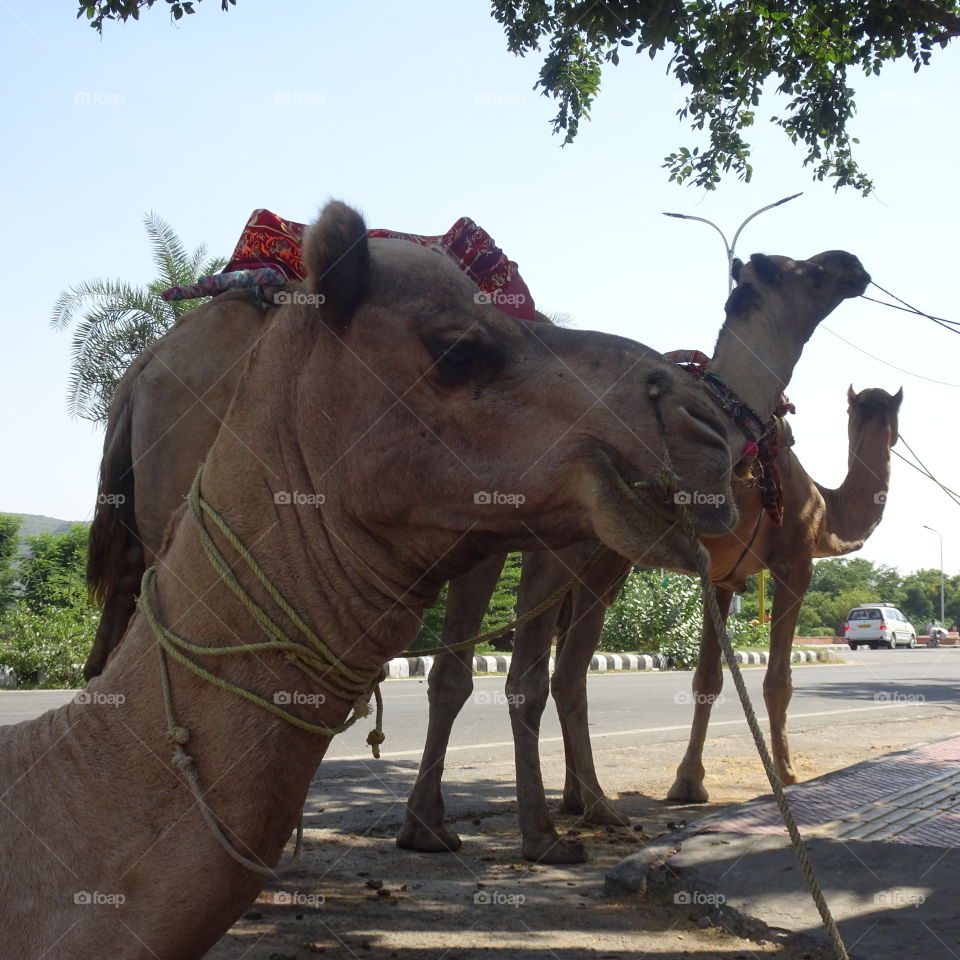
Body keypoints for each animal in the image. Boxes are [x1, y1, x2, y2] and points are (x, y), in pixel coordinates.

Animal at [399, 268, 881, 864]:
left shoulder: (718, 574)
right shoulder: (793, 561)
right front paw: (783, 775)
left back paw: (454, 823)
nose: (854, 268)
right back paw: (551, 827)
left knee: (485, 669)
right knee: (537, 673)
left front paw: (685, 784)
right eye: (809, 274)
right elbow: (775, 678)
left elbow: (705, 677)